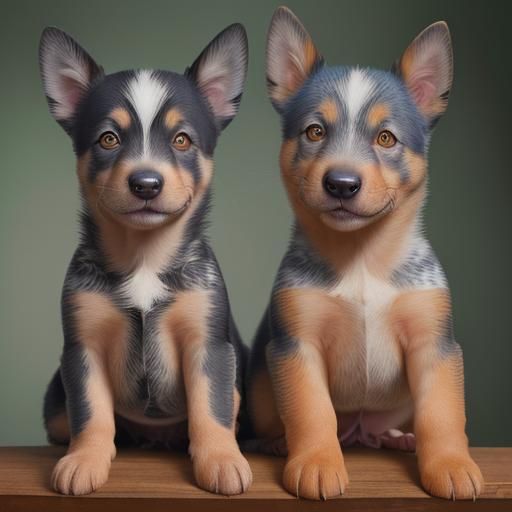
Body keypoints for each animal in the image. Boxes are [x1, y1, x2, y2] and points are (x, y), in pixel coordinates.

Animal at [38, 24, 252, 496]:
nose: (146, 183)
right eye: (109, 139)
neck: (144, 258)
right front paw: (84, 460)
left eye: (182, 140)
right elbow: (90, 411)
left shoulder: (207, 344)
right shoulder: (83, 347)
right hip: (54, 402)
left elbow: (211, 406)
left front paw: (221, 460)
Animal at [248, 7, 484, 500]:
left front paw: (450, 465)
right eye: (314, 131)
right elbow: (311, 410)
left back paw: (398, 438)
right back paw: (280, 443)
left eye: (386, 139)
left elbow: (443, 414)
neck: (361, 260)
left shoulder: (434, 344)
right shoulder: (297, 345)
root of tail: (357, 430)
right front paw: (317, 463)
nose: (341, 183)